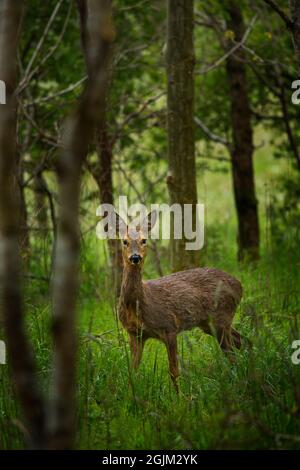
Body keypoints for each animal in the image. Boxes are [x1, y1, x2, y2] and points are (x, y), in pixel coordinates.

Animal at [115, 212, 244, 390]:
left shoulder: (169, 327)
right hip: (209, 323)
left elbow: (174, 372)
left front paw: (179, 396)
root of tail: (239, 285)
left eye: (144, 240)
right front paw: (130, 394)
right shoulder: (135, 334)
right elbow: (132, 372)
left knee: (233, 353)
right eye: (124, 241)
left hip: (221, 317)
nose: (135, 257)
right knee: (242, 341)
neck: (139, 305)